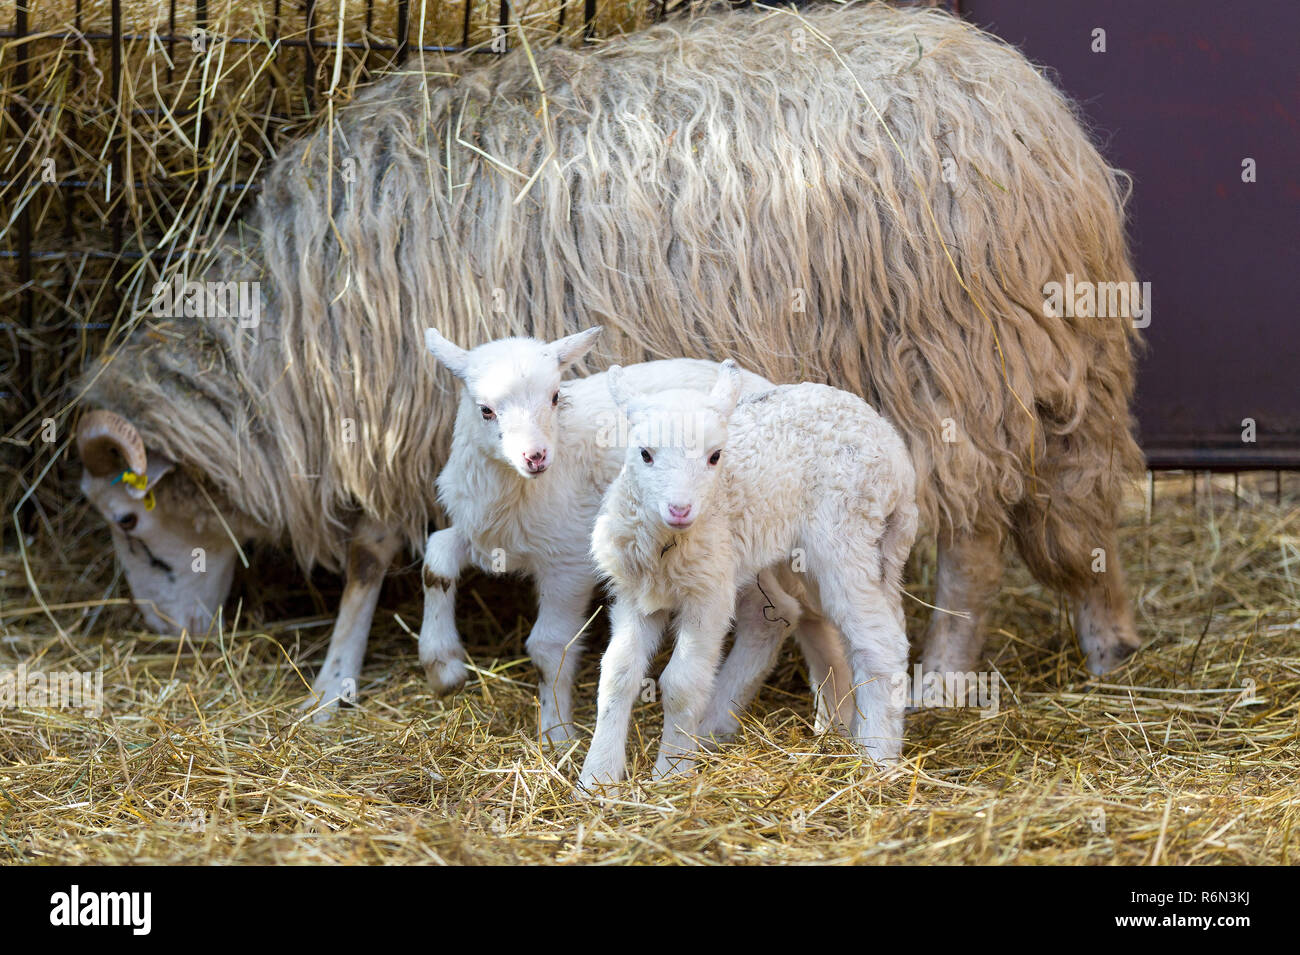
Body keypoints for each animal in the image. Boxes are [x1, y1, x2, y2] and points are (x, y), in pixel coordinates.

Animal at [420, 328, 853, 742]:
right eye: (486, 410)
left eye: (556, 396)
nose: (536, 456)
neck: (516, 485)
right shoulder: (487, 535)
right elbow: (436, 557)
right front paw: (443, 667)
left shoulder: (568, 560)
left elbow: (547, 645)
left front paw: (557, 734)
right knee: (794, 616)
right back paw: (830, 716)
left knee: (774, 617)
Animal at [579, 361, 918, 788]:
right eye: (645, 454)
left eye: (715, 456)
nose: (680, 509)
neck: (668, 545)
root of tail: (897, 454)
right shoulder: (635, 593)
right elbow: (617, 674)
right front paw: (597, 777)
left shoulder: (708, 594)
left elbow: (681, 684)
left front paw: (671, 773)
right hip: (815, 555)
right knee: (798, 620)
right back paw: (828, 728)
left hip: (845, 535)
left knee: (880, 644)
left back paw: (876, 761)